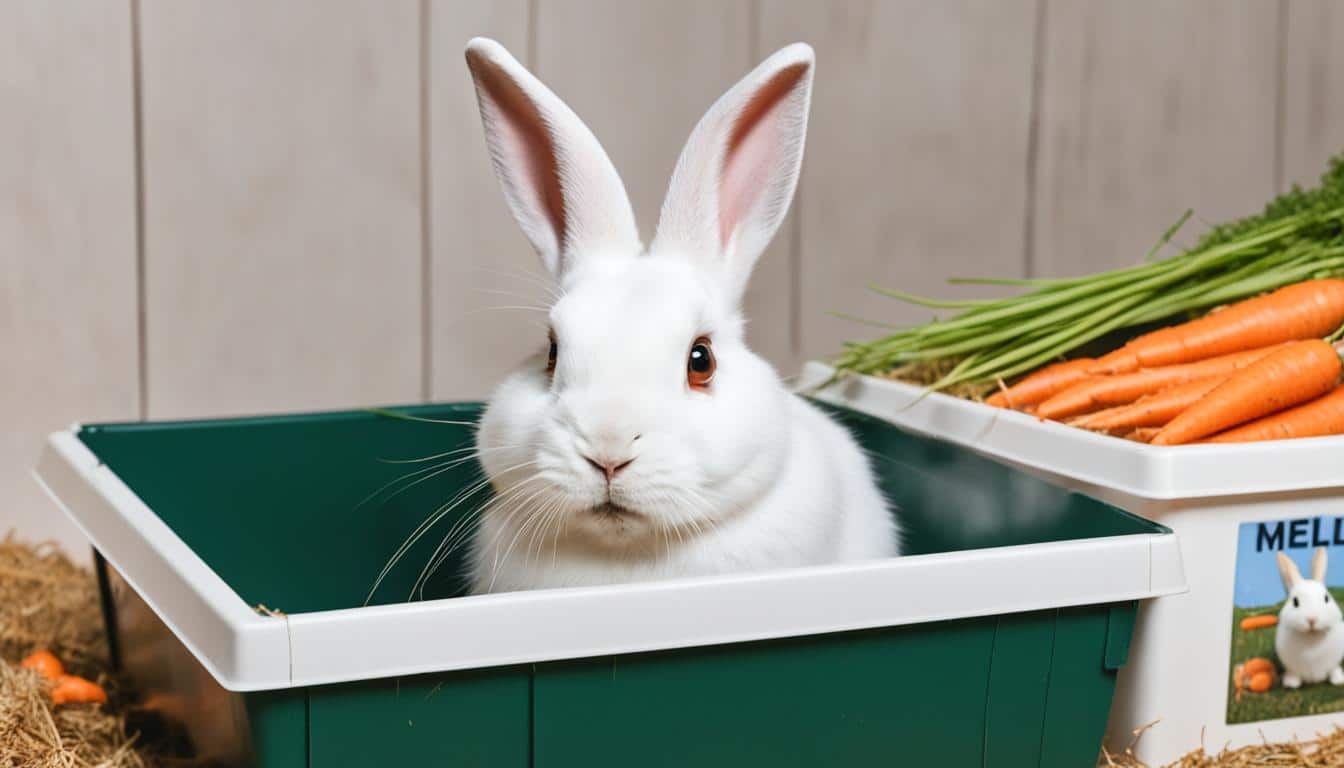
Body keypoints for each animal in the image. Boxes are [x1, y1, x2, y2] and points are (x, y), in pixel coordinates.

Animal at [1275, 547, 1344, 688]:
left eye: (1326, 598)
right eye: (1295, 602)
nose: (1312, 619)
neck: (1312, 636)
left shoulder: (1334, 662)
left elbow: (1334, 669)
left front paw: (1339, 681)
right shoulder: (1291, 666)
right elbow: (1293, 674)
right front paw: (1291, 684)